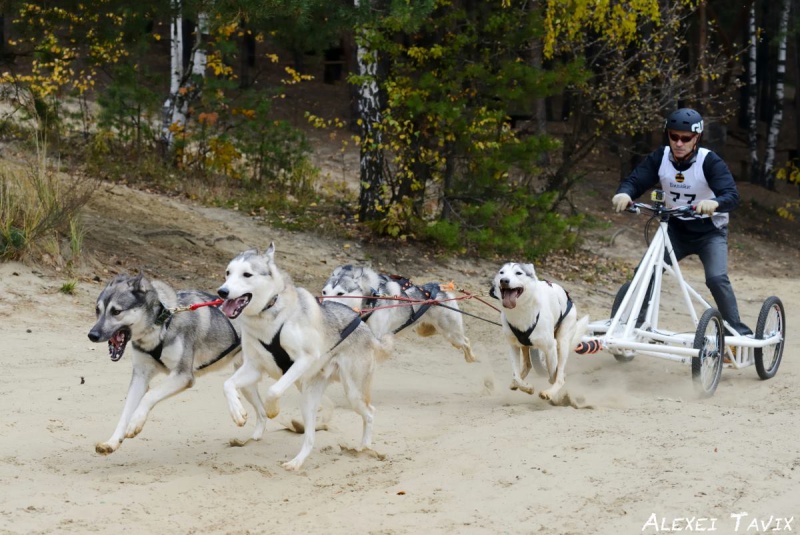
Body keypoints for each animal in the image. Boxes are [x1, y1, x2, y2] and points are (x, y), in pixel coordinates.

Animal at [86, 274, 260, 454]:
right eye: (97, 310)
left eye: (116, 311)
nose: (92, 335)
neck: (162, 323)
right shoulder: (140, 377)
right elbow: (125, 413)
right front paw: (113, 442)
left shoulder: (182, 376)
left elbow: (149, 396)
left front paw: (135, 422)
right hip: (247, 385)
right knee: (263, 412)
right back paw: (254, 436)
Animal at [217, 245, 390, 472]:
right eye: (228, 273)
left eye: (247, 274)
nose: (222, 292)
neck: (268, 315)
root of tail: (366, 329)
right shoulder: (254, 367)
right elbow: (227, 385)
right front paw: (237, 412)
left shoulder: (303, 360)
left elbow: (273, 390)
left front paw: (272, 410)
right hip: (308, 399)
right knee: (310, 438)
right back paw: (297, 461)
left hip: (353, 393)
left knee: (370, 413)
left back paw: (364, 448)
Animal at [320, 264, 476, 364]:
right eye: (324, 292)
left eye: (340, 293)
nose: (325, 307)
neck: (372, 299)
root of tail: (439, 288)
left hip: (451, 334)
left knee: (466, 341)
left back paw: (471, 358)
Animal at [488, 264, 588, 402]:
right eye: (501, 272)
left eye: (518, 273)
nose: (504, 280)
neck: (521, 312)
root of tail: (568, 296)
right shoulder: (513, 346)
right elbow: (516, 376)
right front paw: (526, 387)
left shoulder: (550, 348)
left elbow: (554, 376)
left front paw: (553, 391)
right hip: (525, 345)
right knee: (527, 366)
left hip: (562, 342)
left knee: (559, 376)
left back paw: (550, 392)